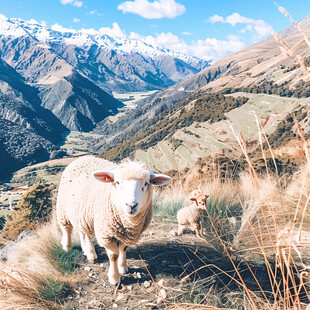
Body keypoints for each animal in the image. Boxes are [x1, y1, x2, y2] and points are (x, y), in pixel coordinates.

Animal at [55, 156, 172, 284]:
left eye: (146, 183)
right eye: (117, 182)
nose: (131, 205)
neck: (128, 223)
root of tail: (82, 157)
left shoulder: (126, 233)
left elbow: (123, 248)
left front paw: (123, 267)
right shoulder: (106, 234)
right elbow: (113, 255)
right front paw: (114, 278)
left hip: (82, 214)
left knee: (83, 233)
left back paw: (89, 252)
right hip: (62, 208)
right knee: (67, 228)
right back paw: (67, 247)